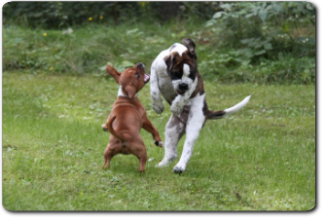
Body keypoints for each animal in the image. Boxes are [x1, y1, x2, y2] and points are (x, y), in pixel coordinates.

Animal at [149, 38, 251, 174]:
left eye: (192, 74)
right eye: (176, 73)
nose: (183, 85)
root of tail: (206, 111)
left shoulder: (193, 83)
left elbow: (184, 95)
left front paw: (177, 106)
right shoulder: (154, 69)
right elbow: (154, 89)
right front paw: (157, 105)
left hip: (193, 126)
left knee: (187, 150)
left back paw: (179, 167)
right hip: (172, 129)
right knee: (172, 154)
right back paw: (162, 165)